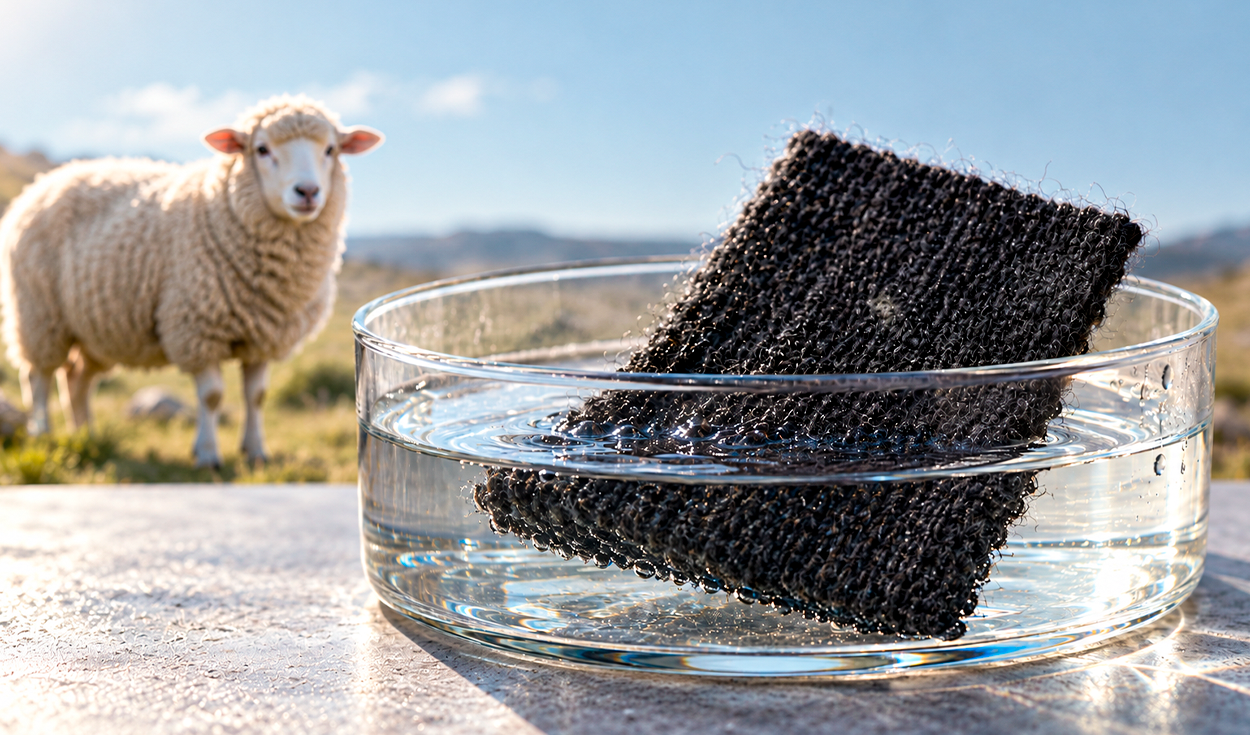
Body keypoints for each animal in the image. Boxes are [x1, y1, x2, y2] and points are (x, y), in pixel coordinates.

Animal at [0, 95, 383, 468]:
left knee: (76, 381)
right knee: (37, 377)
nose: (307, 191)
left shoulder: (263, 336)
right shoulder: (196, 329)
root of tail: (49, 178)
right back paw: (43, 433)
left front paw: (256, 452)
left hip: (95, 330)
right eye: (261, 149)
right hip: (39, 315)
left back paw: (85, 436)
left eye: (331, 149)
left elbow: (257, 396)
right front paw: (208, 454)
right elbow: (212, 397)